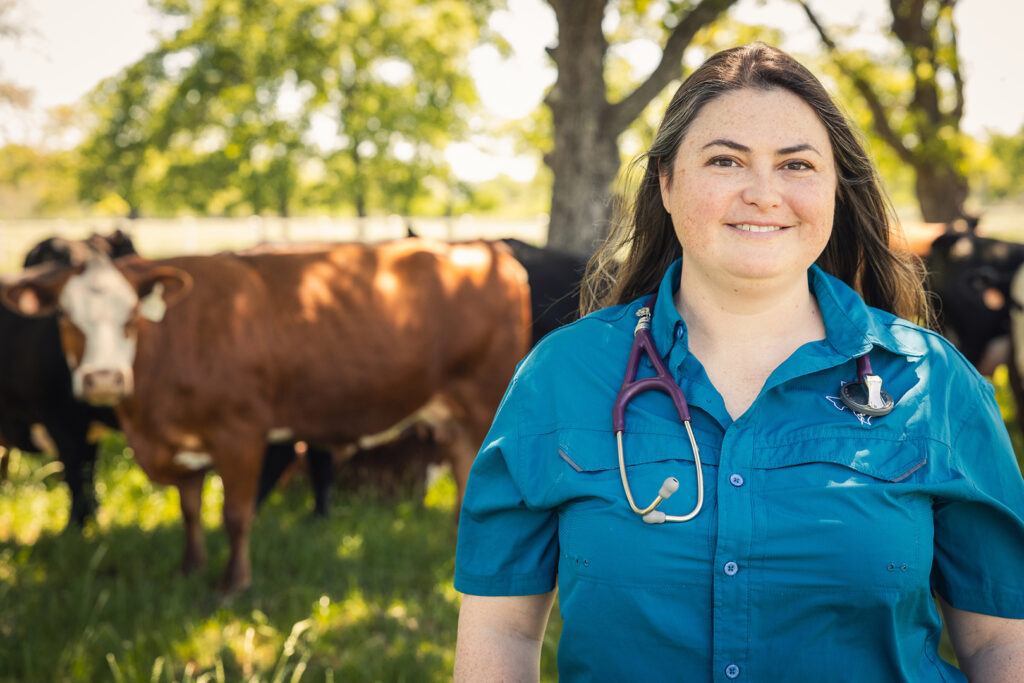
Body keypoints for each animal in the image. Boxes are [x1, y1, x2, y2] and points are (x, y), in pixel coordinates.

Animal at [6, 239, 536, 593]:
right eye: (63, 316)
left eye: (132, 313)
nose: (104, 379)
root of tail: (485, 250)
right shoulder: (181, 443)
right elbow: (189, 508)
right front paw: (189, 568)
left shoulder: (240, 433)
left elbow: (236, 514)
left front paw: (231, 585)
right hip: (451, 414)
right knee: (465, 470)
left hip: (484, 399)